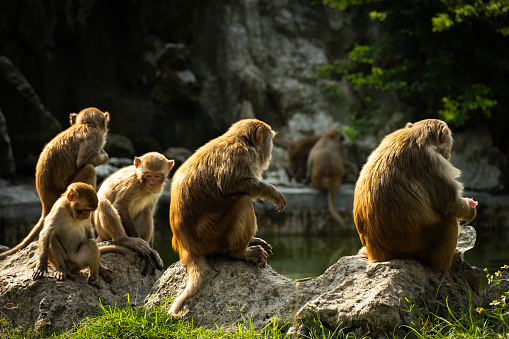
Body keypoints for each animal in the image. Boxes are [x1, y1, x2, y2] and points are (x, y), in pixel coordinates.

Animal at [0, 107, 110, 258]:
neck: (85, 124)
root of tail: (46, 204)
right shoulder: (94, 137)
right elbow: (82, 162)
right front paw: (104, 155)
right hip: (66, 190)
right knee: (89, 169)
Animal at [168, 118, 284, 318]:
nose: (271, 151)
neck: (240, 140)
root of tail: (186, 247)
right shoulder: (242, 156)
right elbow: (230, 184)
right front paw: (273, 192)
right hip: (212, 234)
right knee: (243, 200)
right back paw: (240, 252)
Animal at [354, 118, 476, 272]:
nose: (449, 156)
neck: (417, 134)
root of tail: (380, 254)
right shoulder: (433, 163)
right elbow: (449, 203)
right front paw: (470, 211)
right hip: (419, 247)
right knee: (447, 219)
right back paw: (446, 263)